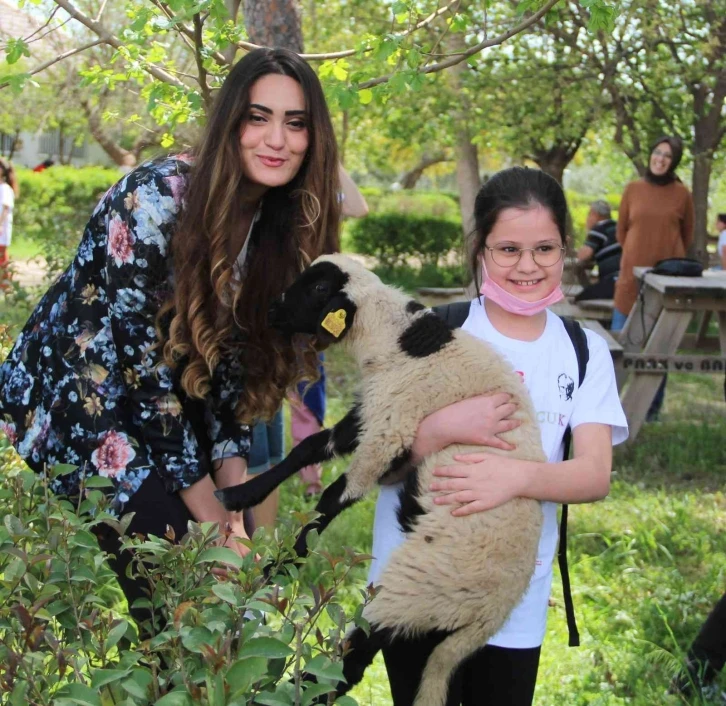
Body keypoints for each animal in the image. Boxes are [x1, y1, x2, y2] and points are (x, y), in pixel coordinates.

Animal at [216, 254, 544, 704]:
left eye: (319, 289)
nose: (271, 310)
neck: (395, 338)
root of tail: (487, 620)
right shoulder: (375, 409)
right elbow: (310, 448)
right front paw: (238, 494)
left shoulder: (392, 428)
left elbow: (335, 497)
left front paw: (278, 568)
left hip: (412, 590)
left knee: (354, 659)